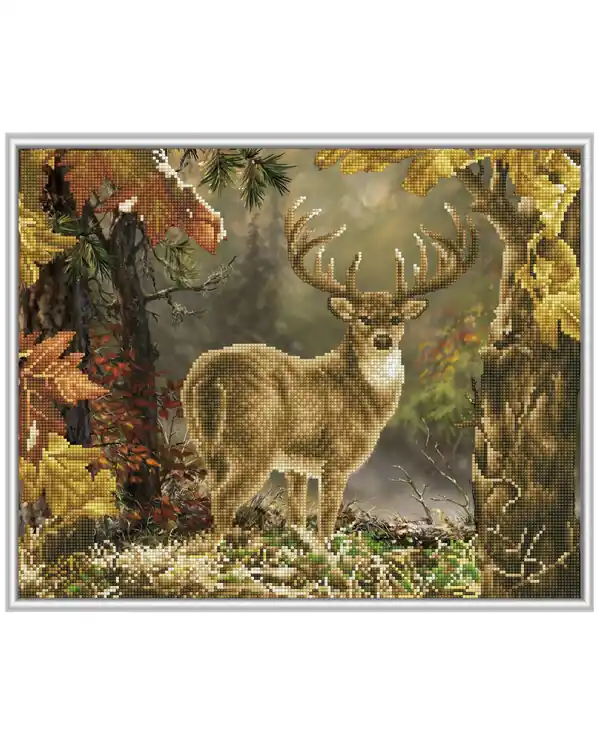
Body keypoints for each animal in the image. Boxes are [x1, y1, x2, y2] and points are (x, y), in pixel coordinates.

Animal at [181, 196, 478, 539]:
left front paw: (300, 541)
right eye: (363, 318)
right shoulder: (337, 457)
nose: (383, 339)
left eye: (395, 318)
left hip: (204, 440)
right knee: (223, 498)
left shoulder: (295, 463)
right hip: (254, 441)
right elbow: (326, 520)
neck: (364, 398)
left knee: (211, 489)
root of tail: (210, 375)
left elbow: (297, 515)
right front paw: (325, 550)